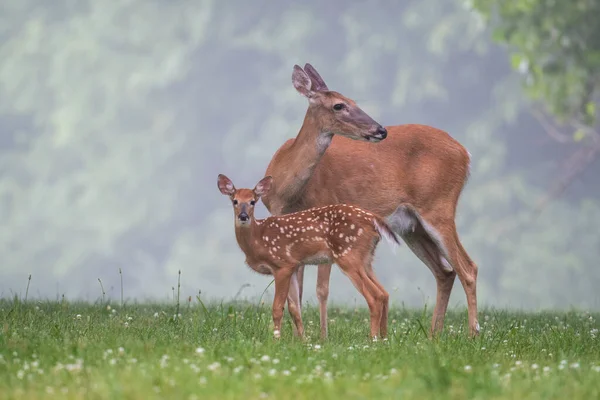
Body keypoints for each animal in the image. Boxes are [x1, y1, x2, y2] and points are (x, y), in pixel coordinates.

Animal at [262, 62, 478, 338]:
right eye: (339, 105)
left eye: (353, 101)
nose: (380, 130)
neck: (287, 189)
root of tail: (465, 154)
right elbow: (295, 291)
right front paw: (299, 338)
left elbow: (321, 289)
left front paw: (322, 337)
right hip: (412, 226)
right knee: (445, 272)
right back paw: (433, 335)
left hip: (438, 205)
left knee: (468, 268)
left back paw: (473, 334)